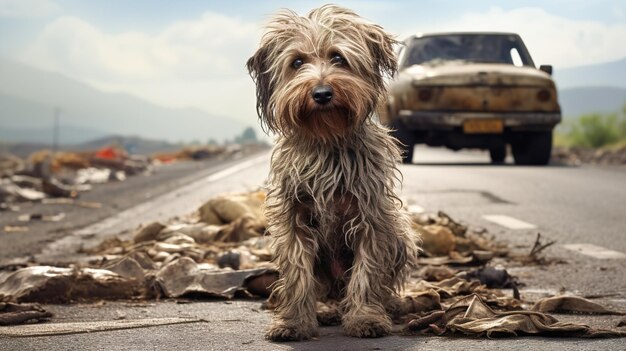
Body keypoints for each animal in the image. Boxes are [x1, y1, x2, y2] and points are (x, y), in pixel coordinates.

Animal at [246, 4, 416, 342]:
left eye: (338, 57)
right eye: (297, 62)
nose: (322, 93)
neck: (327, 139)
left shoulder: (372, 215)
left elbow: (367, 271)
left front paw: (365, 317)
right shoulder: (293, 216)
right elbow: (298, 273)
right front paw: (293, 322)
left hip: (401, 233)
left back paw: (387, 306)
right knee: (324, 289)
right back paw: (325, 309)